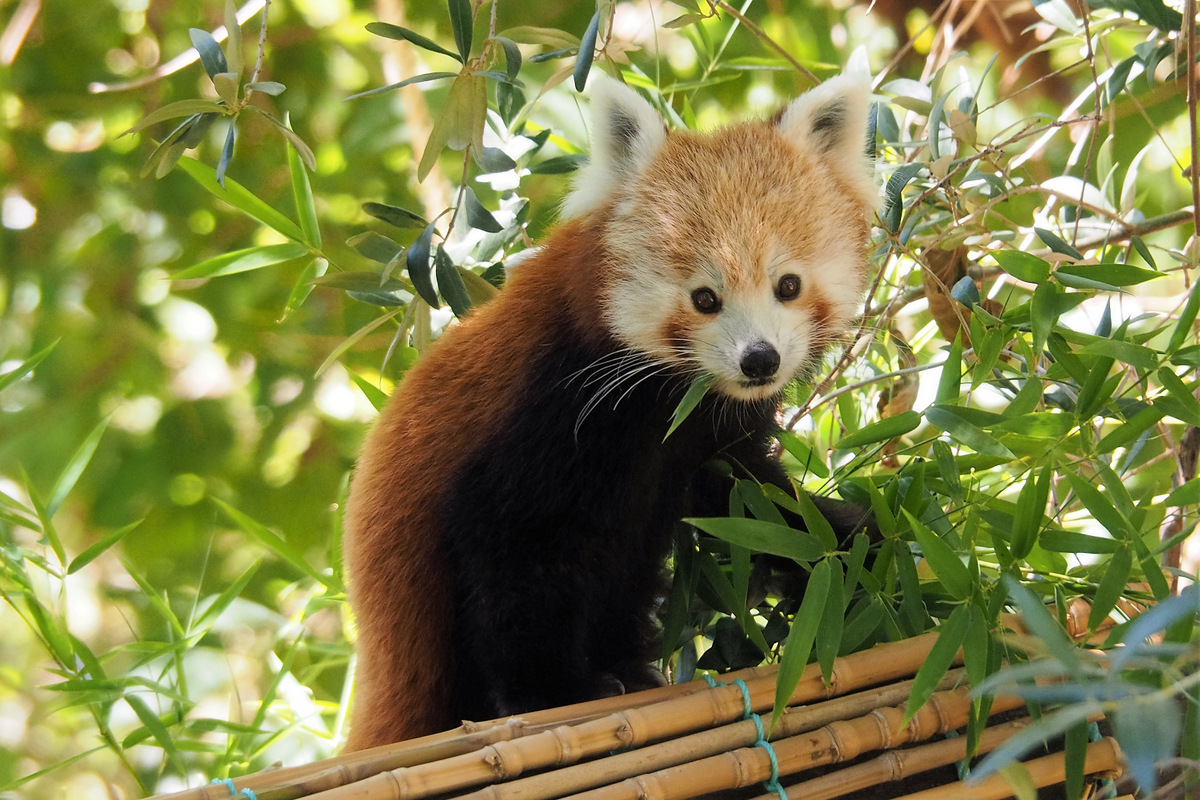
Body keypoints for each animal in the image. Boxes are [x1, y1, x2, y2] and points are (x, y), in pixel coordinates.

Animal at [343, 74, 878, 753]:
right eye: (705, 299)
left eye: (788, 285)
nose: (759, 360)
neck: (665, 403)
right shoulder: (550, 414)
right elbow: (510, 556)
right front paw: (551, 693)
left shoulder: (705, 439)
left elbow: (757, 505)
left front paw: (863, 546)